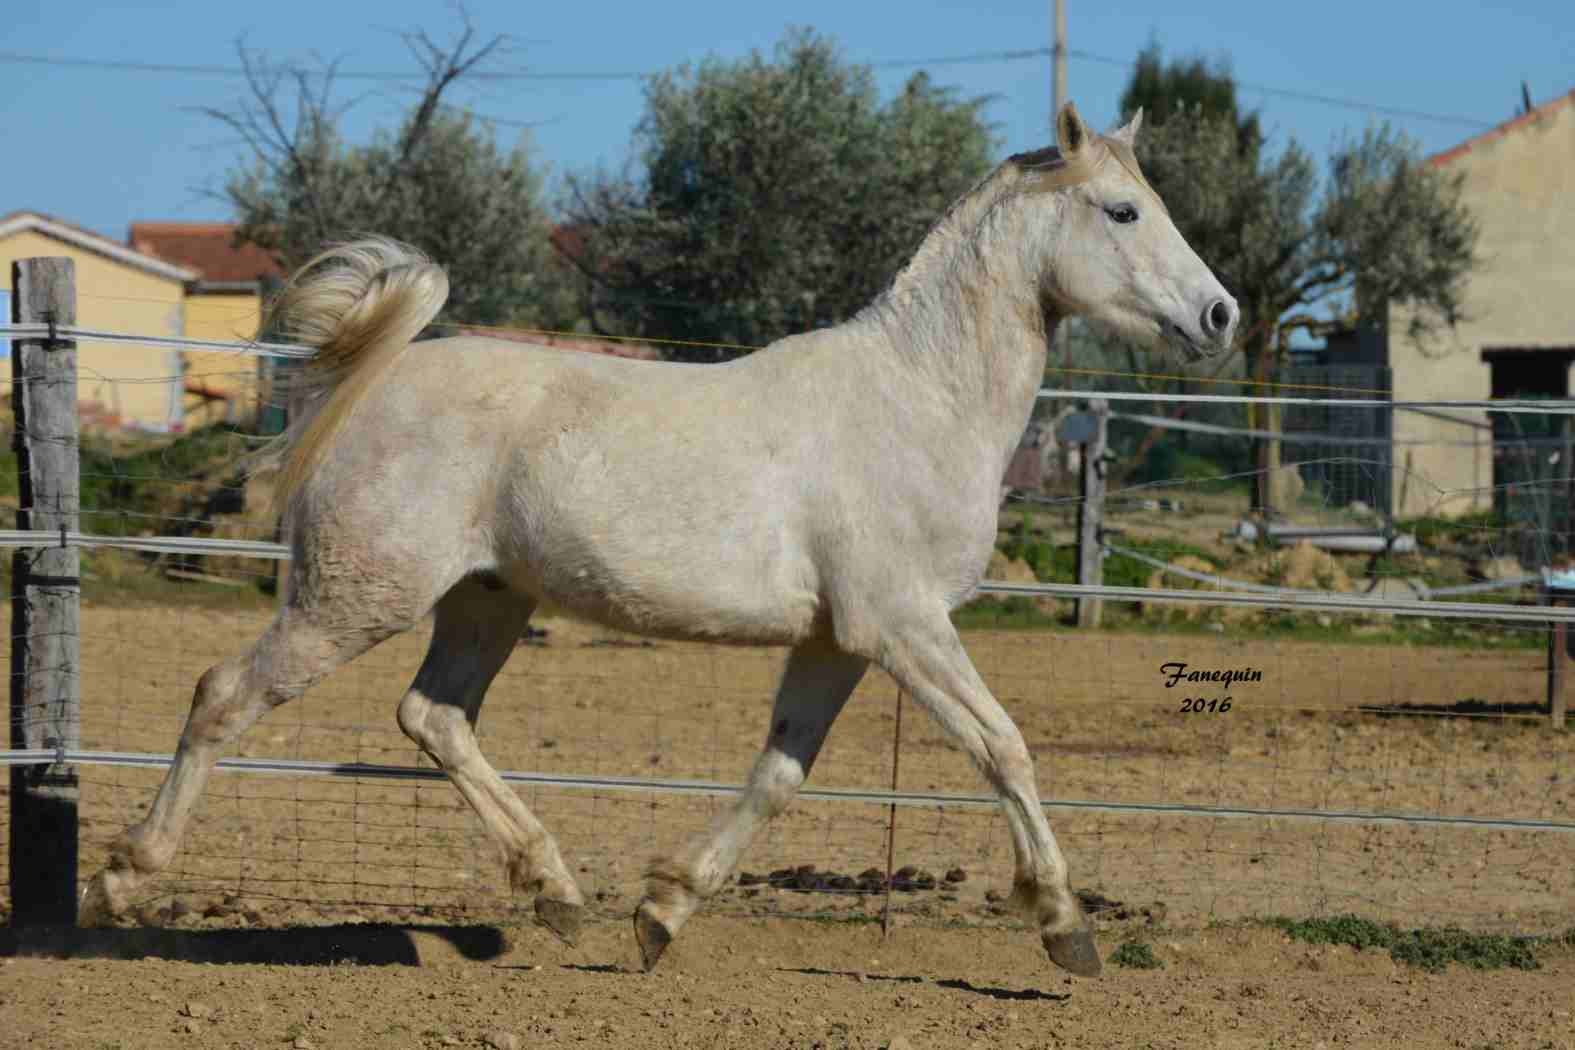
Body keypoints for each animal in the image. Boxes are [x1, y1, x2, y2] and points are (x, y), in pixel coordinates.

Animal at [79, 102, 1234, 982]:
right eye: (1123, 209)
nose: (1219, 316)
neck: (918, 402)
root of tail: (377, 380)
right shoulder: (904, 626)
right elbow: (1004, 747)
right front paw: (1065, 928)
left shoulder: (838, 640)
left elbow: (779, 776)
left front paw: (661, 913)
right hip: (352, 598)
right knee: (225, 695)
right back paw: (123, 879)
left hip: (487, 599)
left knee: (433, 718)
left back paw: (557, 893)